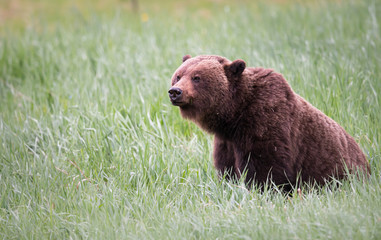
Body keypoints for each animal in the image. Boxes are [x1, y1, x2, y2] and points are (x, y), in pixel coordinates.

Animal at [168, 54, 370, 189]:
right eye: (179, 75)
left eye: (197, 77)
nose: (175, 91)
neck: (234, 115)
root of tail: (366, 162)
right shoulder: (227, 141)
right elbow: (227, 167)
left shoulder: (265, 122)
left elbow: (267, 166)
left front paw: (262, 189)